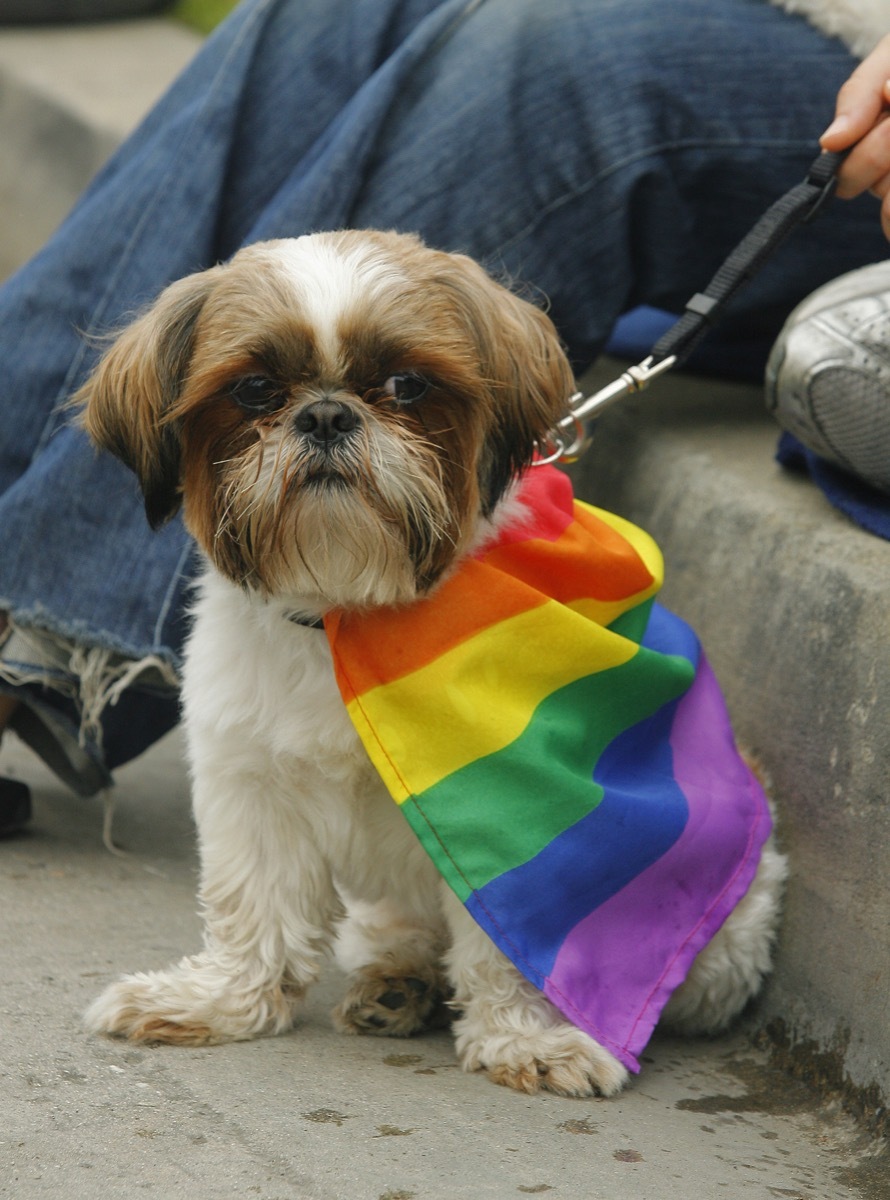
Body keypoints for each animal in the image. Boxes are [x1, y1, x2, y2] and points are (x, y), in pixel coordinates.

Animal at [80, 226, 782, 1099]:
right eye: (254, 390)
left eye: (405, 385)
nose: (325, 414)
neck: (348, 614)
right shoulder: (252, 781)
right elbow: (254, 905)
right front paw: (220, 1001)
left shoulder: (520, 810)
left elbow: (513, 941)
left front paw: (526, 1037)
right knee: (400, 928)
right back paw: (398, 981)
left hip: (731, 933)